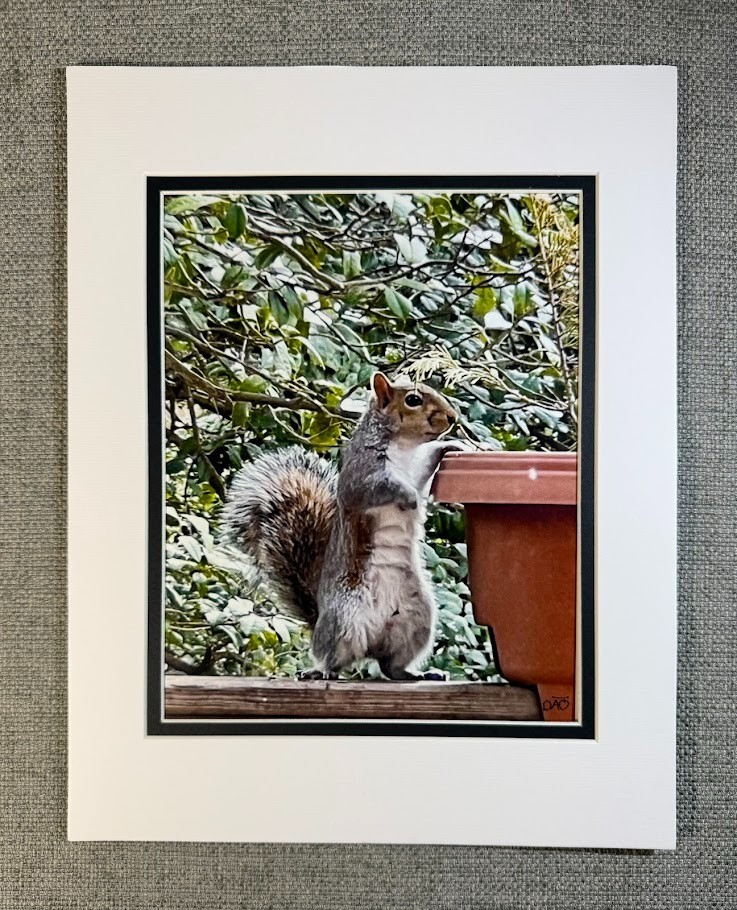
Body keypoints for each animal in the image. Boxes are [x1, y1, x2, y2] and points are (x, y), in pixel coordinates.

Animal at [222, 372, 464, 681]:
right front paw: (409, 498)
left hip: (417, 617)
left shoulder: (416, 469)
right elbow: (381, 489)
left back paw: (414, 674)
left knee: (390, 666)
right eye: (413, 400)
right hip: (342, 618)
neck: (404, 446)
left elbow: (425, 468)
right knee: (333, 657)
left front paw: (451, 447)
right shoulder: (360, 477)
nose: (452, 417)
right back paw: (322, 671)